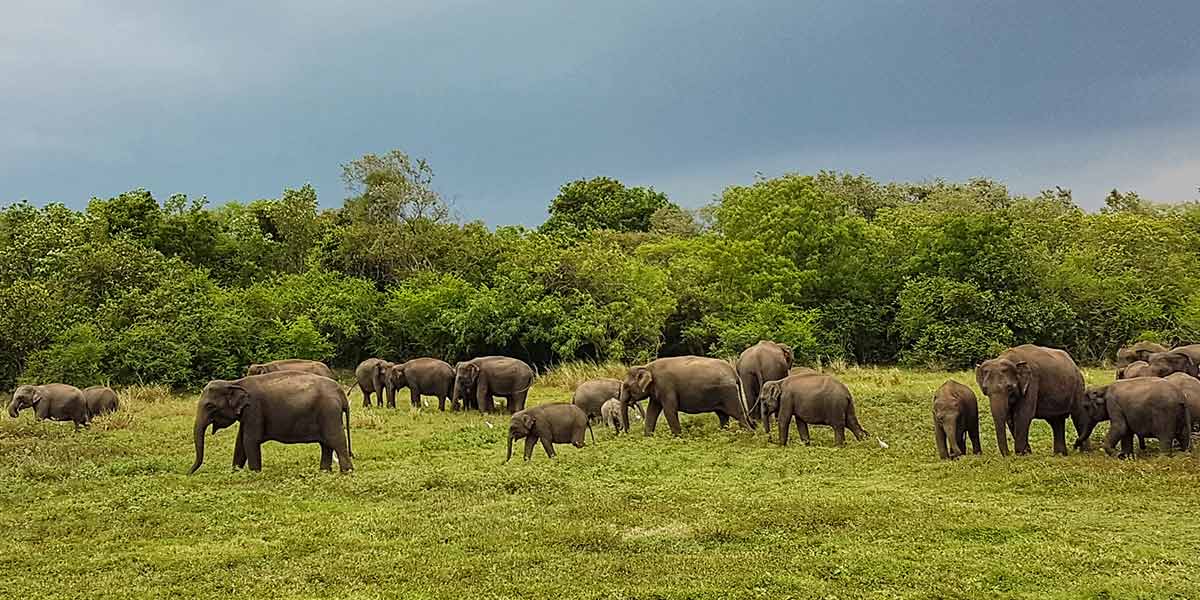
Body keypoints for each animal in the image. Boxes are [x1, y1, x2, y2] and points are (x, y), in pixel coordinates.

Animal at [184, 369, 350, 472]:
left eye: (209, 406)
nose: (187, 473)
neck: (235, 382)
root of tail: (341, 393)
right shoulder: (246, 414)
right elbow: (240, 442)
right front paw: (235, 472)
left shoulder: (254, 409)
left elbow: (250, 441)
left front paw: (254, 473)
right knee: (326, 444)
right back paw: (324, 472)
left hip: (329, 413)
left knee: (336, 440)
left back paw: (346, 474)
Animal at [619, 355, 748, 436]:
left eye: (626, 386)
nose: (627, 433)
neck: (647, 367)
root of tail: (734, 373)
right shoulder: (656, 392)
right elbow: (652, 412)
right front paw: (648, 438)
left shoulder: (666, 387)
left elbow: (669, 411)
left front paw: (678, 438)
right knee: (722, 415)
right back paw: (724, 433)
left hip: (728, 393)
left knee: (737, 413)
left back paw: (746, 434)